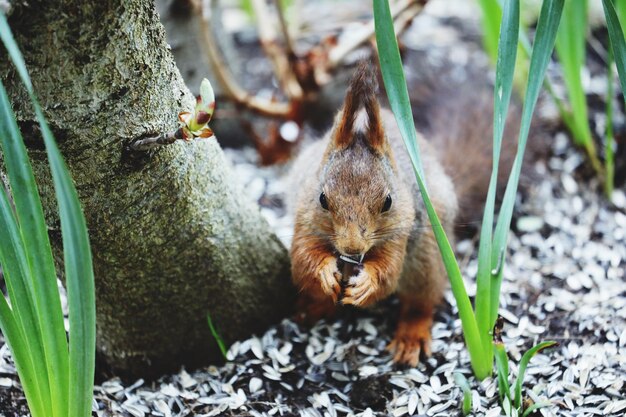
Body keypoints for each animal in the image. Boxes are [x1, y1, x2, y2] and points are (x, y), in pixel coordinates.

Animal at [286, 60, 520, 366]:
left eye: (388, 201)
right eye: (323, 199)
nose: (352, 248)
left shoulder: (400, 230)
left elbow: (388, 271)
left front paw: (368, 285)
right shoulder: (305, 219)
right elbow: (304, 259)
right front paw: (324, 273)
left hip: (425, 257)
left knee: (421, 302)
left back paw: (412, 335)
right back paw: (311, 306)